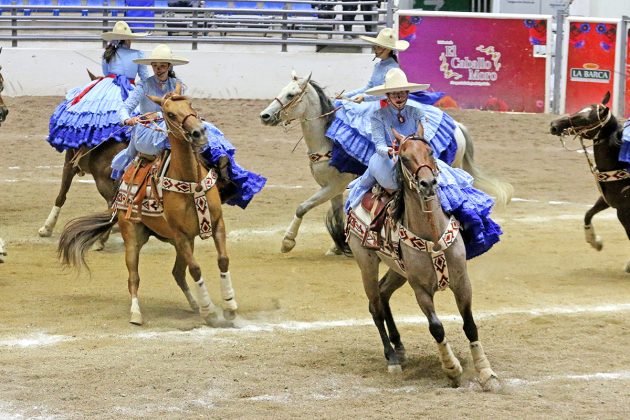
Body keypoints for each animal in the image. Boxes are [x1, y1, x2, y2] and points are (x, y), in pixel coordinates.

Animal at [37, 70, 128, 251]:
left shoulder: (69, 164)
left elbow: (61, 195)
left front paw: (46, 228)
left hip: (103, 181)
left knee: (112, 205)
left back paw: (101, 240)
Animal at [58, 88, 239, 324]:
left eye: (190, 105)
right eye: (170, 114)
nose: (199, 132)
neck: (191, 181)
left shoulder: (216, 225)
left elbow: (223, 260)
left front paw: (229, 307)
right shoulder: (181, 235)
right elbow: (196, 269)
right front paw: (210, 312)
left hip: (177, 242)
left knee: (177, 273)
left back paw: (194, 304)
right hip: (134, 238)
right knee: (134, 277)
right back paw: (136, 313)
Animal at [260, 72, 512, 254]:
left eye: (291, 95)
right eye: (282, 91)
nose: (265, 116)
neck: (327, 138)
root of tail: (457, 126)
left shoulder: (333, 186)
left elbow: (302, 207)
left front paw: (287, 242)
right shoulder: (333, 189)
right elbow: (338, 215)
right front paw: (339, 245)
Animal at [548, 91, 630, 272]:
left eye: (586, 119)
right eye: (579, 109)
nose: (554, 125)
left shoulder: (623, 210)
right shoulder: (607, 200)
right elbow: (588, 214)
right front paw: (595, 241)